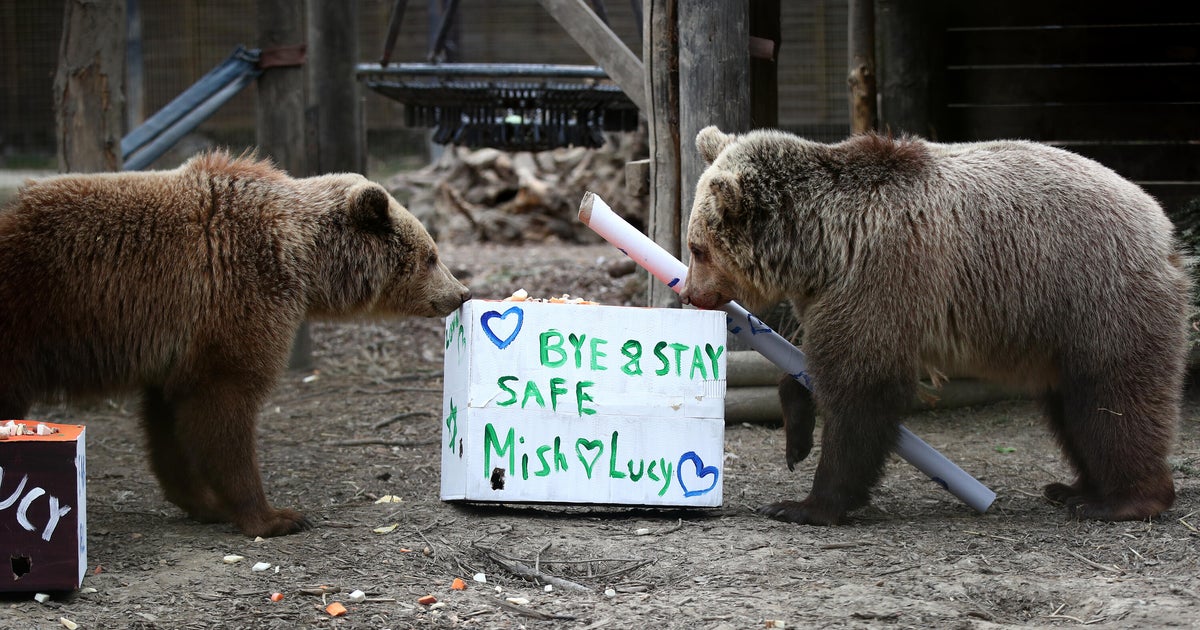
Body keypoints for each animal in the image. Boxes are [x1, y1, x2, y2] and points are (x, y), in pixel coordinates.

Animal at [0, 151, 471, 537]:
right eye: (431, 256)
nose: (461, 292)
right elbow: (225, 409)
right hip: (25, 317)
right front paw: (276, 516)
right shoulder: (235, 295)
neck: (302, 259)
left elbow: (167, 422)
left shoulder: (176, 346)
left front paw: (203, 503)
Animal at [679, 126, 1192, 526]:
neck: (822, 248)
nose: (689, 293)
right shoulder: (831, 296)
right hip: (1061, 331)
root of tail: (1162, 227)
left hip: (1097, 299)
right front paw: (796, 440)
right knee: (1071, 407)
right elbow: (811, 365)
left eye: (697, 247)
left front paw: (805, 504)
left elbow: (861, 389)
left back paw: (1121, 501)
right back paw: (1075, 489)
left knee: (1113, 398)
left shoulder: (883, 274)